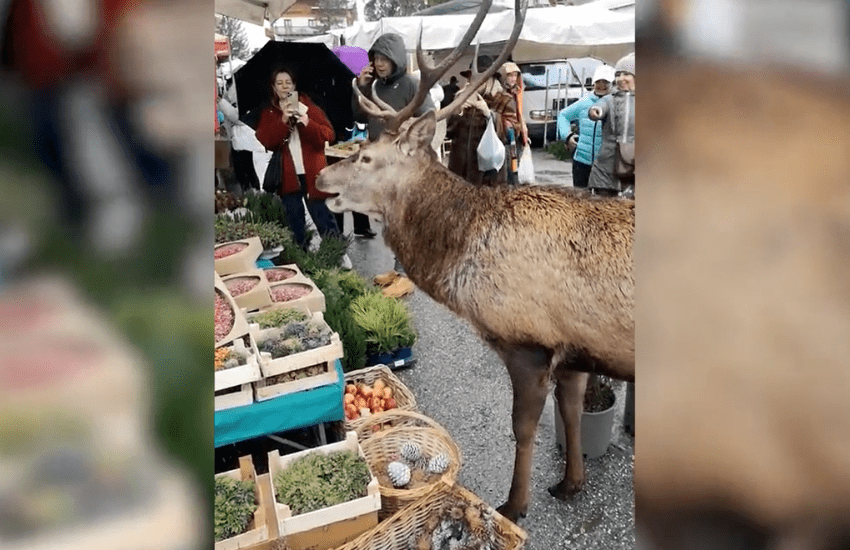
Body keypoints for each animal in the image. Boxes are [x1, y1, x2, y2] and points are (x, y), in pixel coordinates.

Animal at [316, 0, 634, 524]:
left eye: (364, 157)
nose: (321, 177)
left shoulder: (528, 342)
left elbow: (522, 428)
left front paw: (514, 504)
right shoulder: (574, 349)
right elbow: (569, 412)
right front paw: (570, 483)